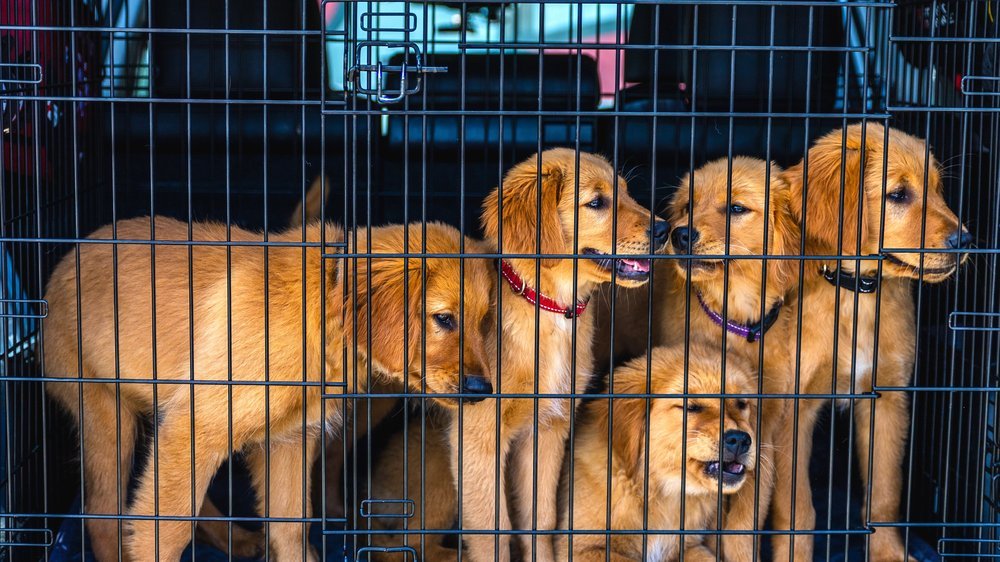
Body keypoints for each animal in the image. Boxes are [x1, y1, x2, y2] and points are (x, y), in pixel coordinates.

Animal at [44, 217, 496, 556]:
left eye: (483, 322)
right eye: (444, 319)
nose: (482, 389)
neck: (323, 308)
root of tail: (65, 260)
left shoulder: (288, 440)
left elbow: (291, 529)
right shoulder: (195, 426)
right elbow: (166, 532)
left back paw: (236, 539)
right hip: (105, 411)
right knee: (102, 512)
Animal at [452, 147, 668, 556]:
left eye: (627, 193)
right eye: (596, 202)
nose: (665, 231)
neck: (551, 309)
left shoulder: (547, 430)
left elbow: (540, 519)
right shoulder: (477, 438)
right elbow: (491, 532)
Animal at [652, 155, 800, 556]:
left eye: (736, 208)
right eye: (688, 207)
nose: (679, 234)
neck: (736, 320)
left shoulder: (762, 436)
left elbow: (741, 526)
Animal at [772, 122, 968, 560]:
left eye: (937, 189)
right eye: (898, 194)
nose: (965, 242)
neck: (856, 293)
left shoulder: (889, 399)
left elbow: (885, 494)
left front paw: (889, 554)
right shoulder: (792, 410)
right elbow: (798, 509)